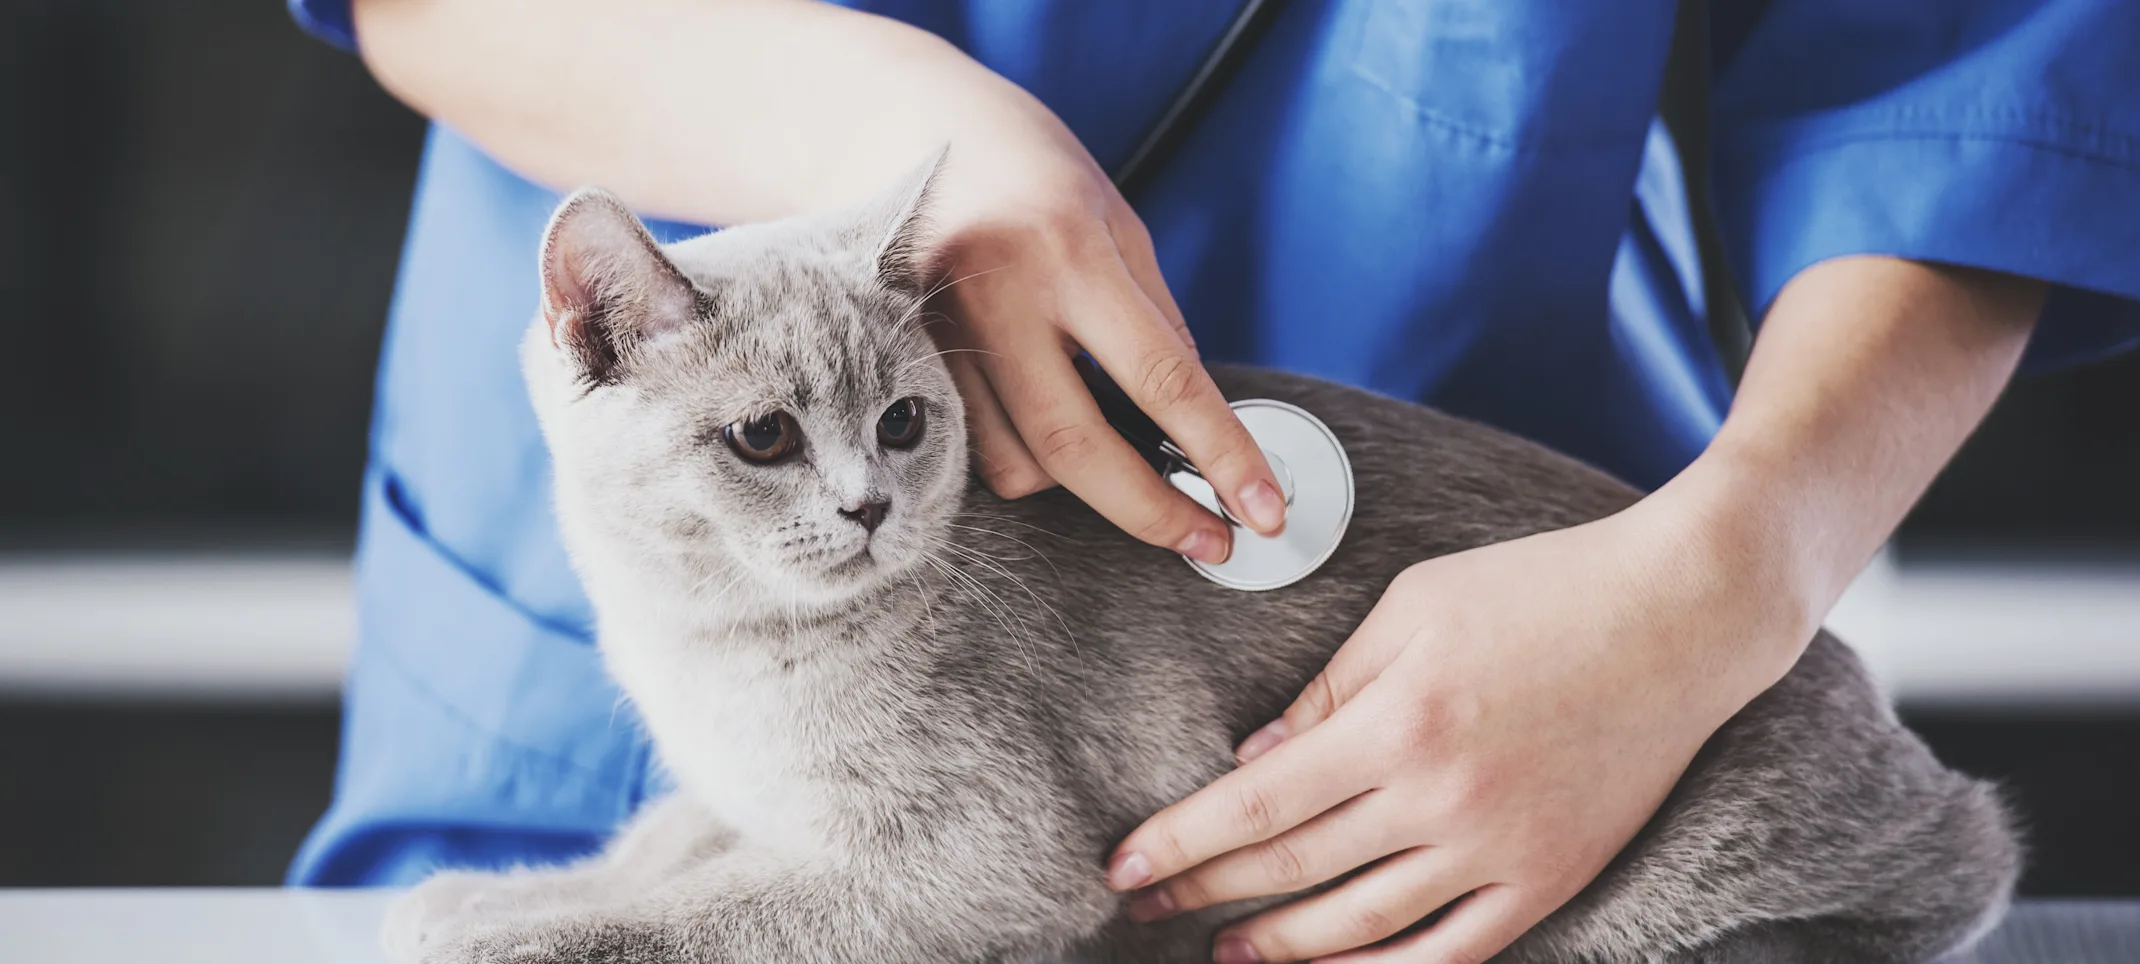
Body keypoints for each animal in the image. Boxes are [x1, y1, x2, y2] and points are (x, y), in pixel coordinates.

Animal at [389, 158, 2020, 964]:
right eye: (764, 438)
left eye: (903, 420)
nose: (867, 508)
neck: (711, 650)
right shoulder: (743, 792)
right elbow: (671, 843)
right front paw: (487, 891)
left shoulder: (984, 864)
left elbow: (712, 913)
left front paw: (519, 934)